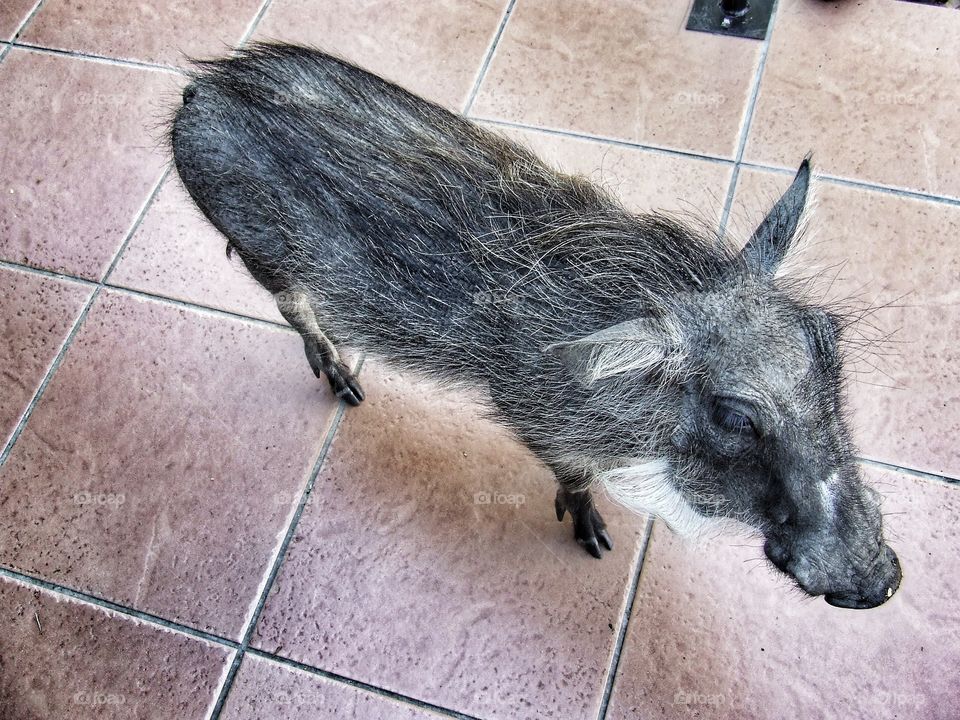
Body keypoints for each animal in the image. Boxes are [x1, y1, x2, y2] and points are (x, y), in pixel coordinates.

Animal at [170, 43, 901, 609]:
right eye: (735, 417)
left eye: (829, 340)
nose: (880, 581)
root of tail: (203, 84)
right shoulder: (530, 413)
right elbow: (574, 476)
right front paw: (594, 536)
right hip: (265, 254)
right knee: (296, 311)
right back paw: (345, 385)